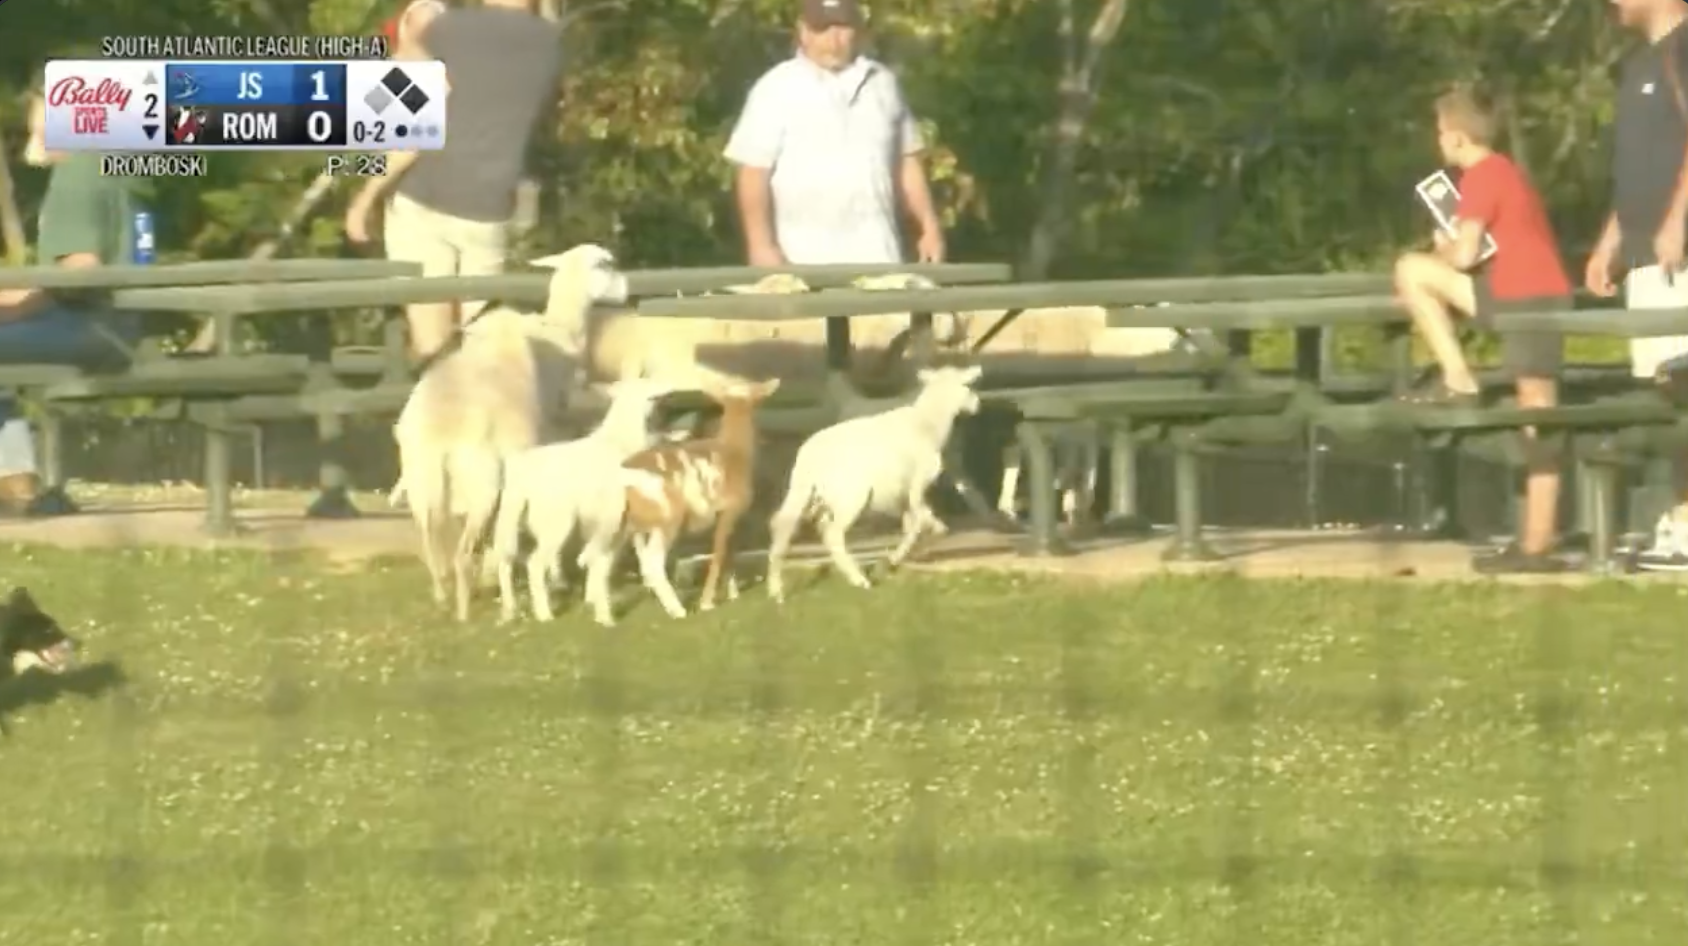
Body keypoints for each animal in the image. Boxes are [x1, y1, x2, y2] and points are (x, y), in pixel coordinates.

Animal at [391, 243, 627, 621]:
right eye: (606, 263)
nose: (627, 289)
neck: (559, 330)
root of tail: (438, 430)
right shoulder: (550, 438)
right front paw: (555, 576)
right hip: (482, 482)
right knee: (462, 551)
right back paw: (466, 607)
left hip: (422, 483)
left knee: (431, 540)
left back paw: (443, 593)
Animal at [488, 369, 676, 624]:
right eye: (650, 389)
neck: (620, 440)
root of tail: (522, 473)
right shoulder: (618, 513)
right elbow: (616, 553)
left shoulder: (595, 519)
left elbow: (595, 555)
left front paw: (591, 597)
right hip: (556, 524)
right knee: (534, 563)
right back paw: (544, 614)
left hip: (514, 518)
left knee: (505, 558)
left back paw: (509, 610)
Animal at [586, 378, 782, 625]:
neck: (736, 452)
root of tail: (620, 481)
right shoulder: (729, 510)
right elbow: (719, 554)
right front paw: (707, 602)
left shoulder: (733, 517)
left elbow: (730, 554)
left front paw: (734, 594)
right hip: (667, 516)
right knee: (652, 562)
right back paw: (677, 610)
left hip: (621, 524)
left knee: (602, 562)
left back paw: (605, 618)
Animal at [765, 364, 983, 601]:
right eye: (967, 384)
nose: (977, 403)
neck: (928, 423)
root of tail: (810, 458)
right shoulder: (917, 483)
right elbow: (918, 520)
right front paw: (918, 541)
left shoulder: (902, 493)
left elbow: (913, 523)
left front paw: (902, 553)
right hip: (850, 496)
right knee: (832, 534)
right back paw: (859, 579)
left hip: (807, 493)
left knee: (785, 525)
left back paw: (776, 589)